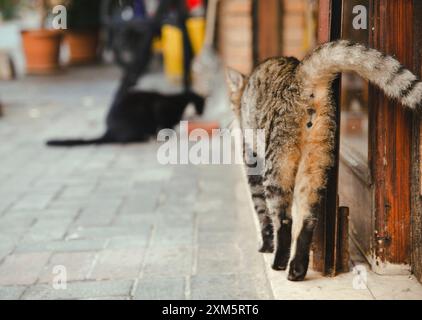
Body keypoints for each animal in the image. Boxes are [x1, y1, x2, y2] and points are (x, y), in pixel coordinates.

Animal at [46, 90, 204, 148]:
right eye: (200, 108)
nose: (202, 114)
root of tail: (109, 131)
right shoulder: (161, 109)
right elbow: (165, 126)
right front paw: (168, 135)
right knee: (126, 140)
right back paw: (146, 138)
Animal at [226, 40, 422, 282]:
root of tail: (300, 75)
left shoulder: (252, 162)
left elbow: (261, 212)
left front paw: (266, 246)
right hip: (316, 162)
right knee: (308, 219)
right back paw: (297, 269)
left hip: (277, 166)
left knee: (284, 220)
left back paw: (280, 263)